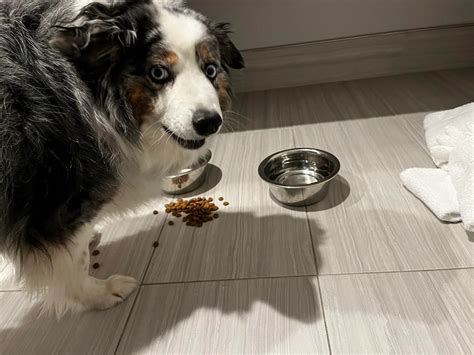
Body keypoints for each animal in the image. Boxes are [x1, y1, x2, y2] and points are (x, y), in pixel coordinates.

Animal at [0, 0, 244, 318]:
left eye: (211, 69)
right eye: (158, 73)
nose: (209, 123)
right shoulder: (59, 208)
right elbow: (76, 263)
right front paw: (100, 294)